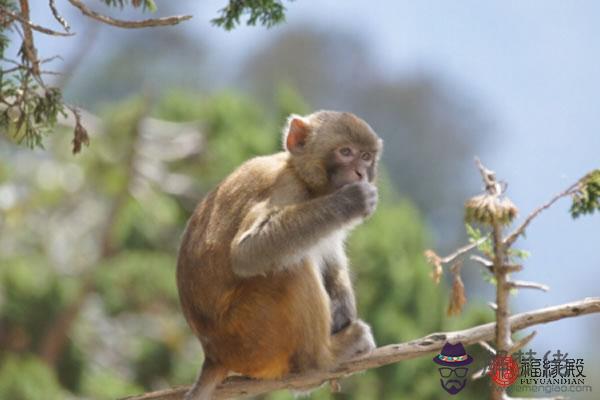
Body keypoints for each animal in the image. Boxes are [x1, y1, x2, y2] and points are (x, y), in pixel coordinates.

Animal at [178, 110, 382, 400]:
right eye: (345, 152)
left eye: (365, 156)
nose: (360, 173)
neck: (307, 182)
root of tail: (214, 356)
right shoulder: (286, 188)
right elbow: (247, 252)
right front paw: (350, 202)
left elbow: (331, 257)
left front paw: (343, 307)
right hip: (251, 337)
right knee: (291, 268)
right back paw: (320, 361)